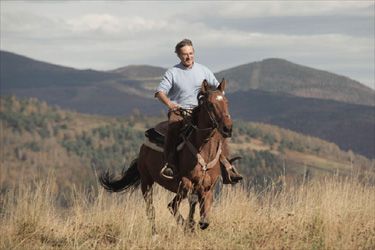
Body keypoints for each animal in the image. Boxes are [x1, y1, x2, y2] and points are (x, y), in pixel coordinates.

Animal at [100, 79, 235, 232]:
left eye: (226, 102)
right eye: (210, 103)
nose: (227, 128)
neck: (204, 153)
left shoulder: (209, 188)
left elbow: (203, 217)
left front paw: (194, 223)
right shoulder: (185, 182)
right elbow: (183, 202)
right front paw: (188, 224)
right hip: (146, 181)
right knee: (153, 210)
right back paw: (156, 233)